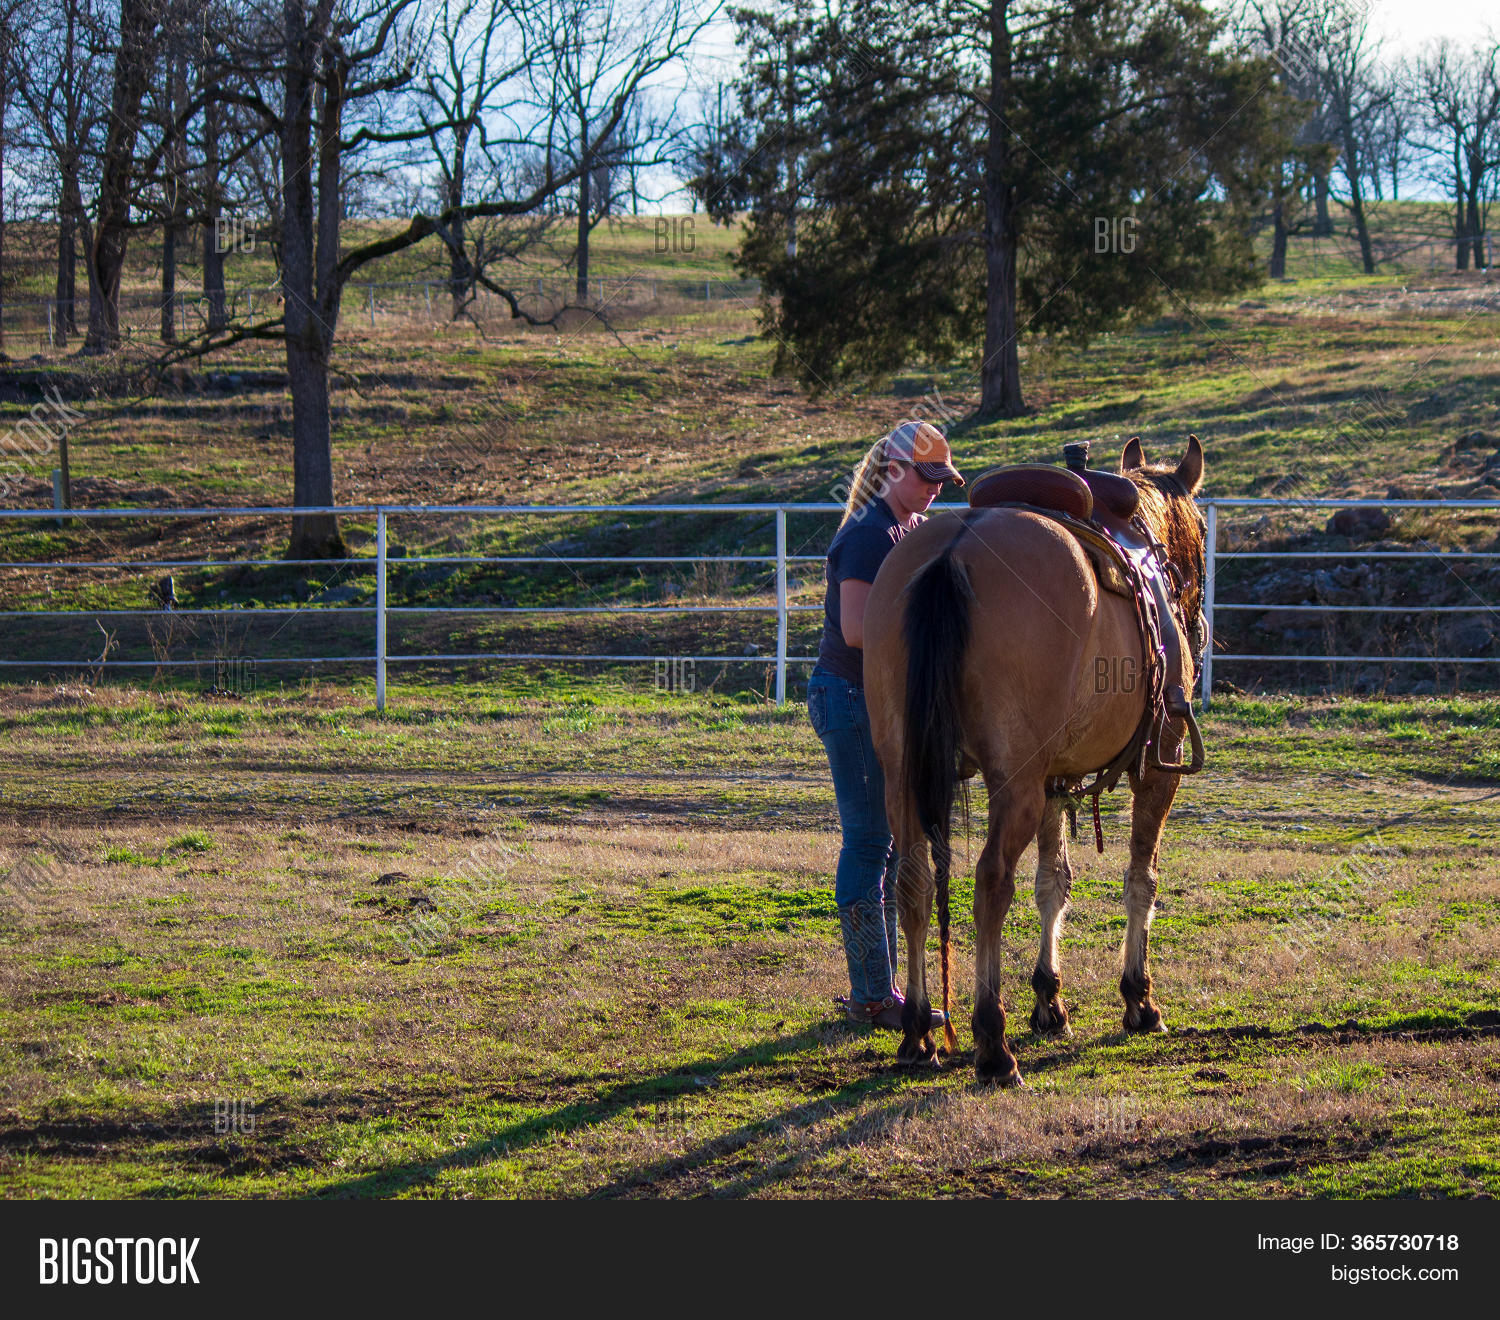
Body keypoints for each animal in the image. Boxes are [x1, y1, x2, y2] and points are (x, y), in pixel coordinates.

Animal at [862, 436, 1207, 1084]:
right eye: (1200, 536)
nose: (1196, 627)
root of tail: (955, 550)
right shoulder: (1158, 766)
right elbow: (1140, 878)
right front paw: (1138, 998)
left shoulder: (1054, 779)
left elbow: (1055, 882)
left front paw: (1049, 998)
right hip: (1013, 786)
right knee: (991, 882)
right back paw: (992, 1043)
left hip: (903, 777)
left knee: (913, 879)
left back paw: (919, 1032)